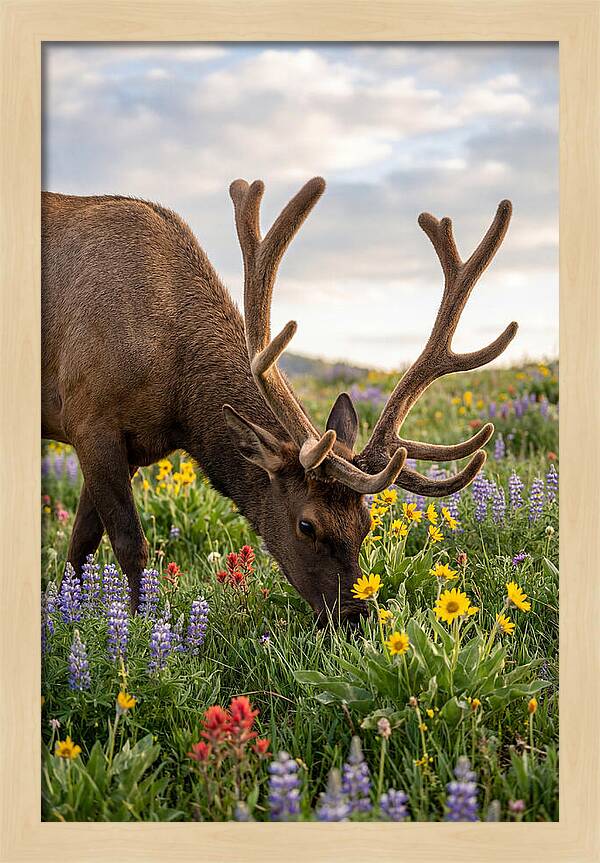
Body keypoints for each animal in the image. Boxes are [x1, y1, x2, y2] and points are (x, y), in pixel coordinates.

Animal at [41, 177, 517, 623]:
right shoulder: (90, 419)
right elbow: (128, 545)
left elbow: (80, 546)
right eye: (306, 525)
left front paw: (68, 613)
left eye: (366, 523)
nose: (355, 617)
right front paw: (135, 627)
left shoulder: (133, 446)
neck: (177, 397)